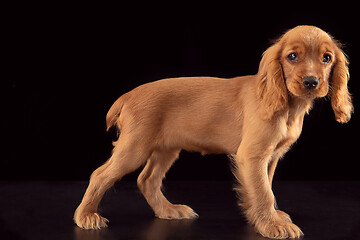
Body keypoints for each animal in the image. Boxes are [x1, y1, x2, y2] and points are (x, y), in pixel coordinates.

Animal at [74, 25, 352, 239]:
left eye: (327, 58)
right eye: (292, 56)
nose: (311, 83)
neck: (288, 106)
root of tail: (128, 96)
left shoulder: (270, 157)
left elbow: (267, 186)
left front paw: (268, 217)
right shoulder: (252, 155)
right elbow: (263, 191)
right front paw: (272, 225)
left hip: (166, 148)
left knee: (147, 179)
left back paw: (169, 211)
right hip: (135, 147)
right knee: (100, 175)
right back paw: (86, 216)